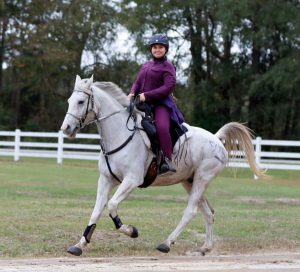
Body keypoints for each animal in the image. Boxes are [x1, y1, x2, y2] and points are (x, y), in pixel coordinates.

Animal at [61, 75, 264, 256]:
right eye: (69, 100)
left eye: (81, 101)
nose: (66, 129)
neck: (120, 133)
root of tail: (216, 139)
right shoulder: (106, 180)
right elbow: (96, 210)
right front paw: (79, 244)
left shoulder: (132, 180)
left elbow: (111, 205)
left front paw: (131, 231)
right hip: (189, 181)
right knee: (208, 212)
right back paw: (204, 248)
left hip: (201, 179)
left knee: (191, 211)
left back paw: (167, 243)